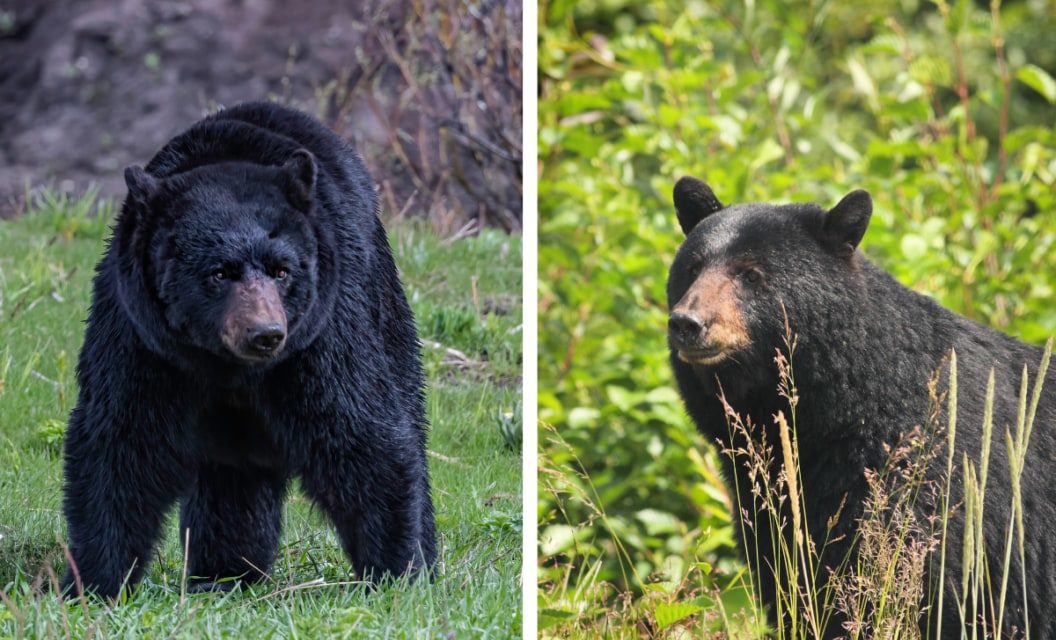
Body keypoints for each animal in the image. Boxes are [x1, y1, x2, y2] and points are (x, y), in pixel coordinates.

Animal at [61, 102, 435, 599]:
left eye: (282, 270)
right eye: (219, 272)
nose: (265, 333)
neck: (229, 368)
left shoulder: (322, 332)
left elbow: (360, 429)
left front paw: (397, 573)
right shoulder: (139, 336)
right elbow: (120, 437)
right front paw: (92, 582)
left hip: (381, 298)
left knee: (405, 404)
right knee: (231, 478)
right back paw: (226, 571)